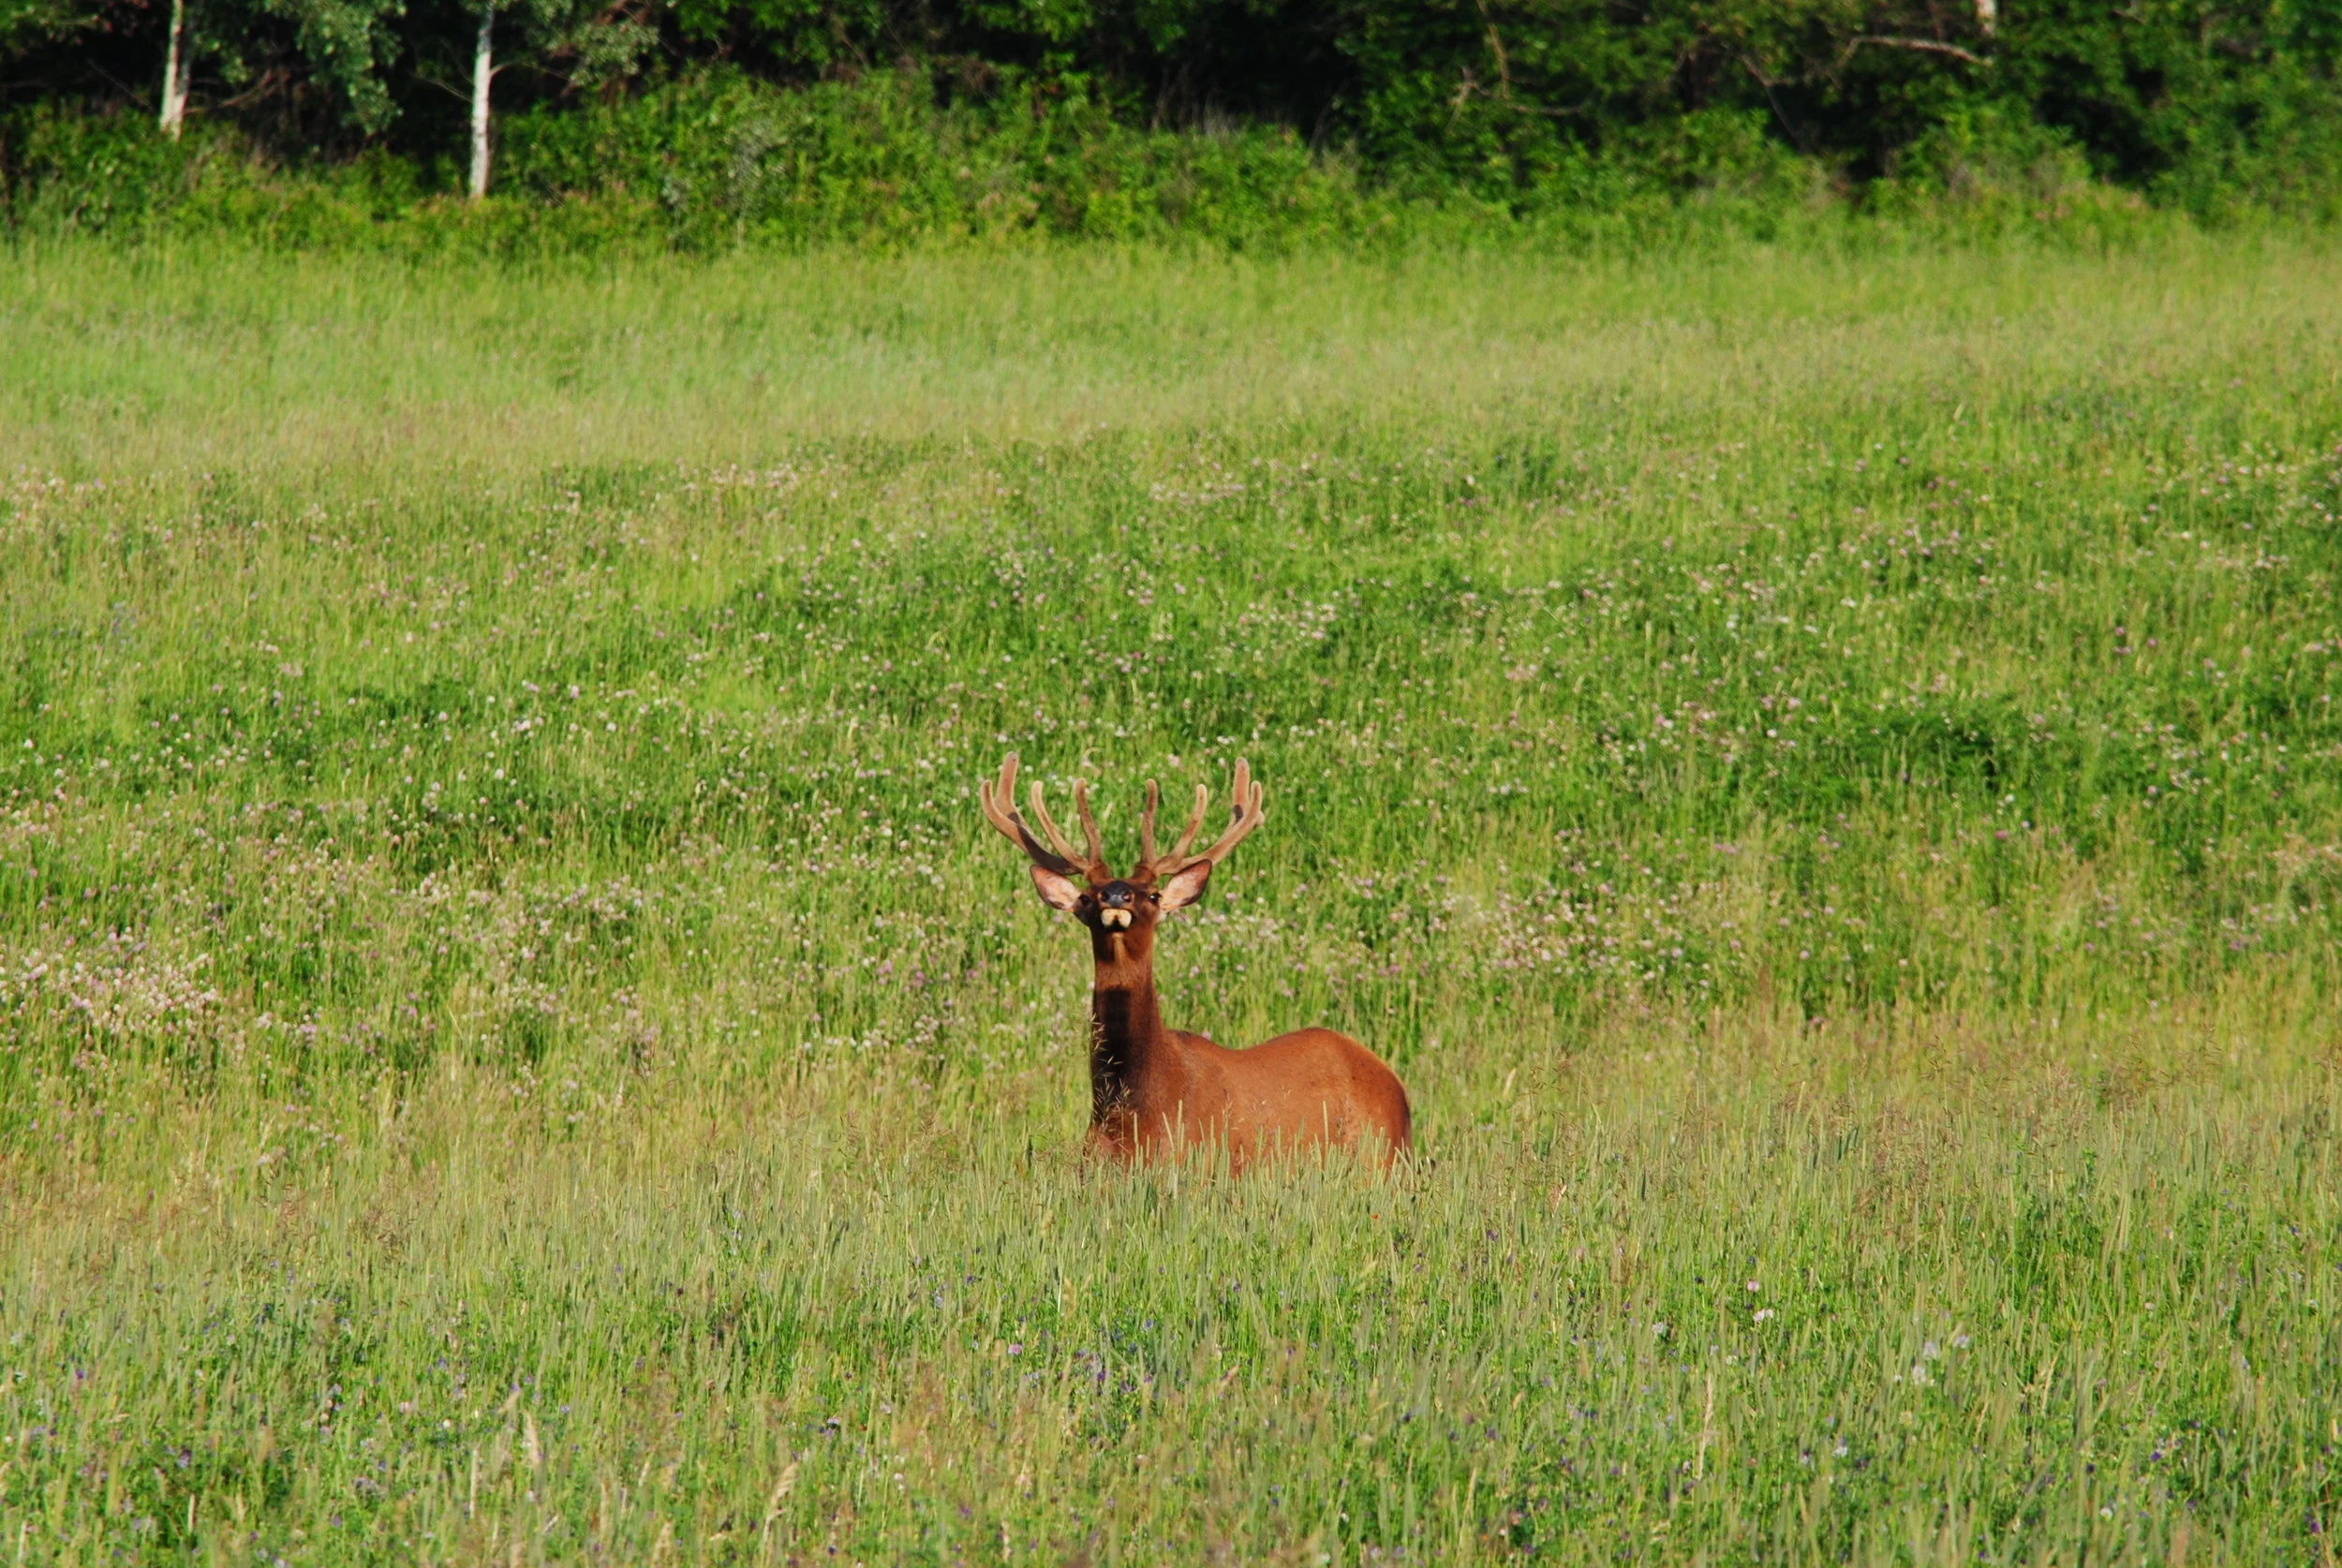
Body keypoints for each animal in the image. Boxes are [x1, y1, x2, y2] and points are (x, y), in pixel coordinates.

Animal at [980, 754, 1412, 1170]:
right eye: (1087, 896)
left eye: (1153, 895)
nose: (1116, 895)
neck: (1134, 1116)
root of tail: (1394, 1083)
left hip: (1382, 1158)